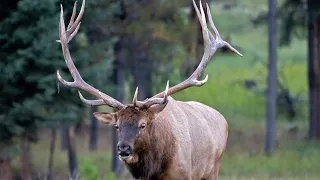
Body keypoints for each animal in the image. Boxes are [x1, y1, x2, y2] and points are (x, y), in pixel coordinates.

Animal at [57, 0, 242, 179]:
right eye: (117, 126)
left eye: (143, 125)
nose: (123, 149)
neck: (154, 170)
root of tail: (223, 119)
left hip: (212, 170)